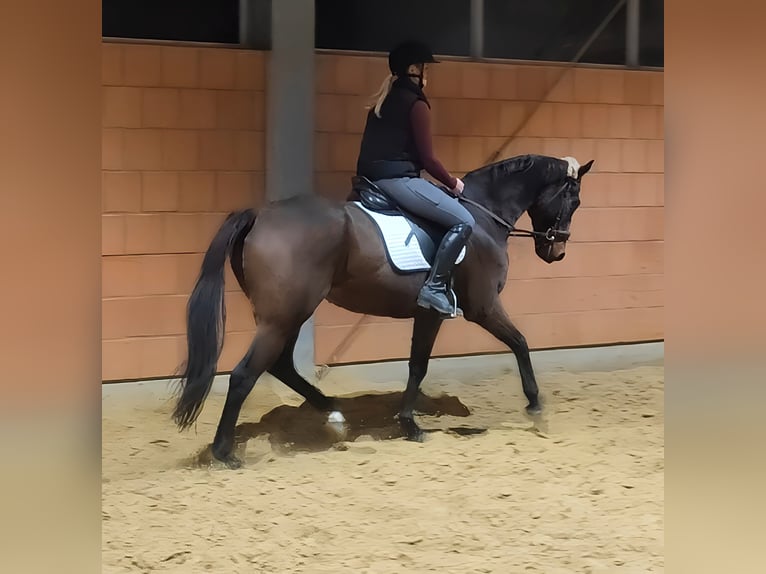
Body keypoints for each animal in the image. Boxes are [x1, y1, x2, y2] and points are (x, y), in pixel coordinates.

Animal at [172, 153, 592, 468]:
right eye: (573, 201)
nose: (557, 251)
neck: (484, 219)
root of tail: (260, 214)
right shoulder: (482, 307)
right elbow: (520, 343)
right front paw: (536, 408)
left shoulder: (428, 314)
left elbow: (417, 365)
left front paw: (408, 424)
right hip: (284, 316)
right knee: (245, 375)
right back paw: (225, 452)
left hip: (290, 314)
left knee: (280, 365)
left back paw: (334, 414)